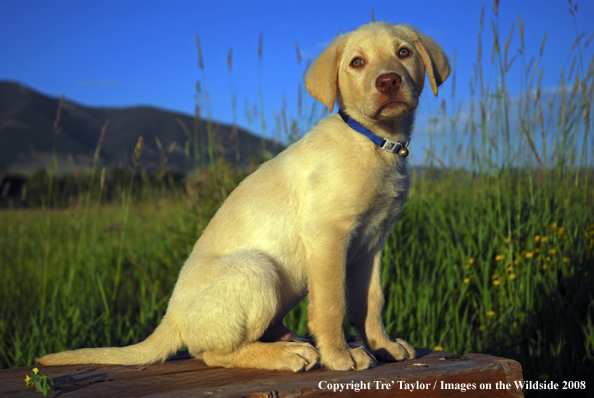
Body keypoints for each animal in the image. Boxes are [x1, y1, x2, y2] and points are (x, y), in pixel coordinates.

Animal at [38, 21, 448, 370]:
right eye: (357, 63)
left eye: (404, 53)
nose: (389, 81)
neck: (375, 142)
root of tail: (172, 318)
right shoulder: (329, 235)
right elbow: (333, 302)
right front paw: (339, 355)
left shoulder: (371, 244)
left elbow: (370, 302)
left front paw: (382, 345)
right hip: (257, 269)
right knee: (210, 354)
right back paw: (287, 354)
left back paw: (287, 338)